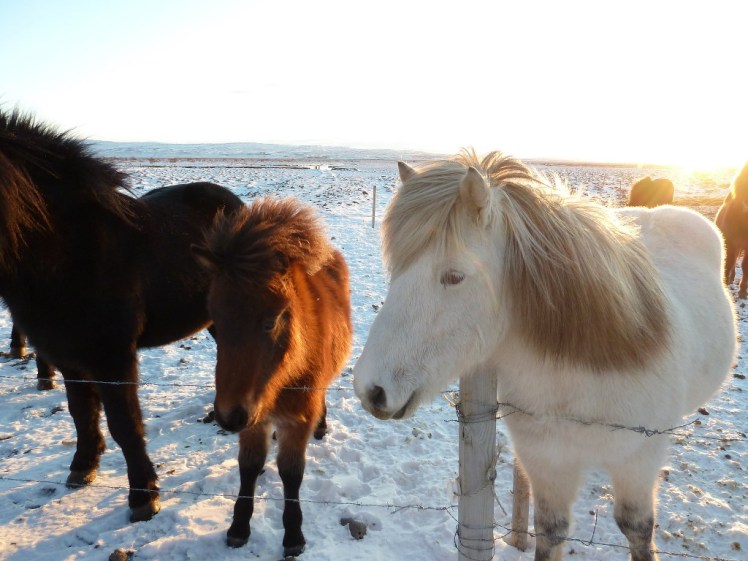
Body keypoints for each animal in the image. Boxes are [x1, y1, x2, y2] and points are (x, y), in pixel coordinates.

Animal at [0, 109, 244, 522]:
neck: (66, 251)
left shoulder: (113, 357)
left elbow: (124, 424)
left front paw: (143, 496)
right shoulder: (68, 356)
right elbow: (81, 412)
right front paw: (83, 466)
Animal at [192, 197, 352, 557]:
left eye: (271, 321)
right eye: (216, 322)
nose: (228, 416)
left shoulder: (296, 418)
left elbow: (291, 474)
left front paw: (293, 536)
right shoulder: (254, 419)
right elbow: (249, 466)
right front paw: (238, 527)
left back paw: (322, 426)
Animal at [353, 151, 736, 561]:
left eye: (455, 276)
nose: (370, 389)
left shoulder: (639, 459)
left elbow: (638, 531)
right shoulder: (549, 462)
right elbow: (550, 532)